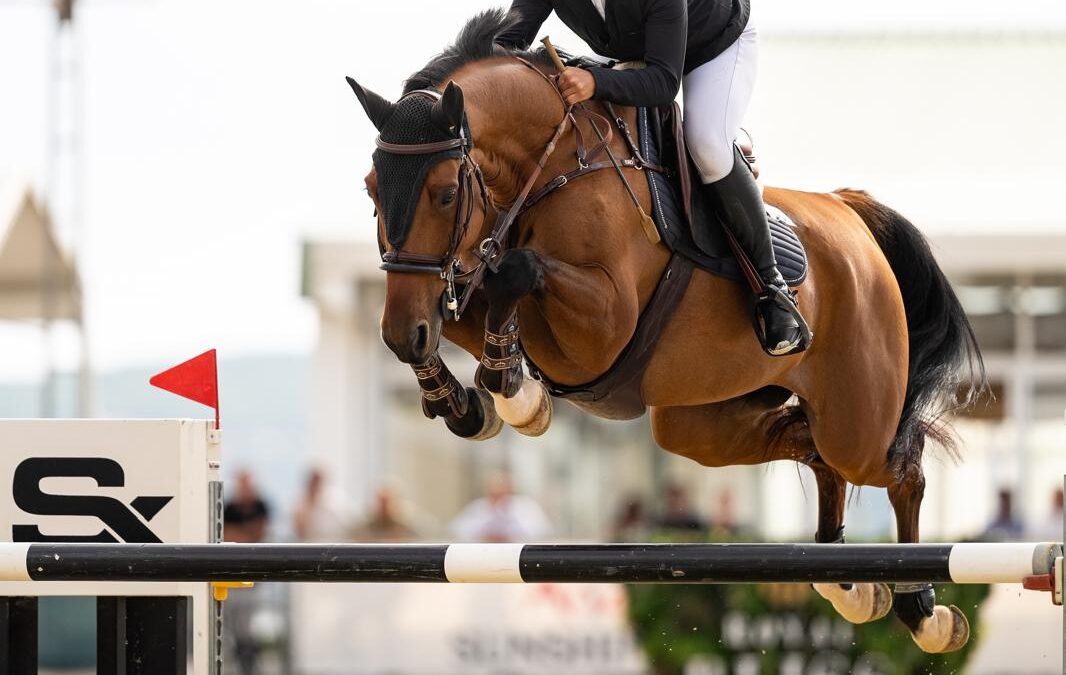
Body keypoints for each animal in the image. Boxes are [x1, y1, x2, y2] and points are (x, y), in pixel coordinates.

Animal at [347, 9, 980, 652]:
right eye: (371, 188)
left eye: (446, 193)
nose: (401, 334)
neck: (555, 165)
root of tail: (850, 212)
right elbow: (474, 298)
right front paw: (473, 400)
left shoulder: (602, 328)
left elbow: (516, 272)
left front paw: (509, 387)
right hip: (701, 424)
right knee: (810, 448)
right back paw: (850, 586)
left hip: (856, 422)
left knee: (900, 468)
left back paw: (924, 612)